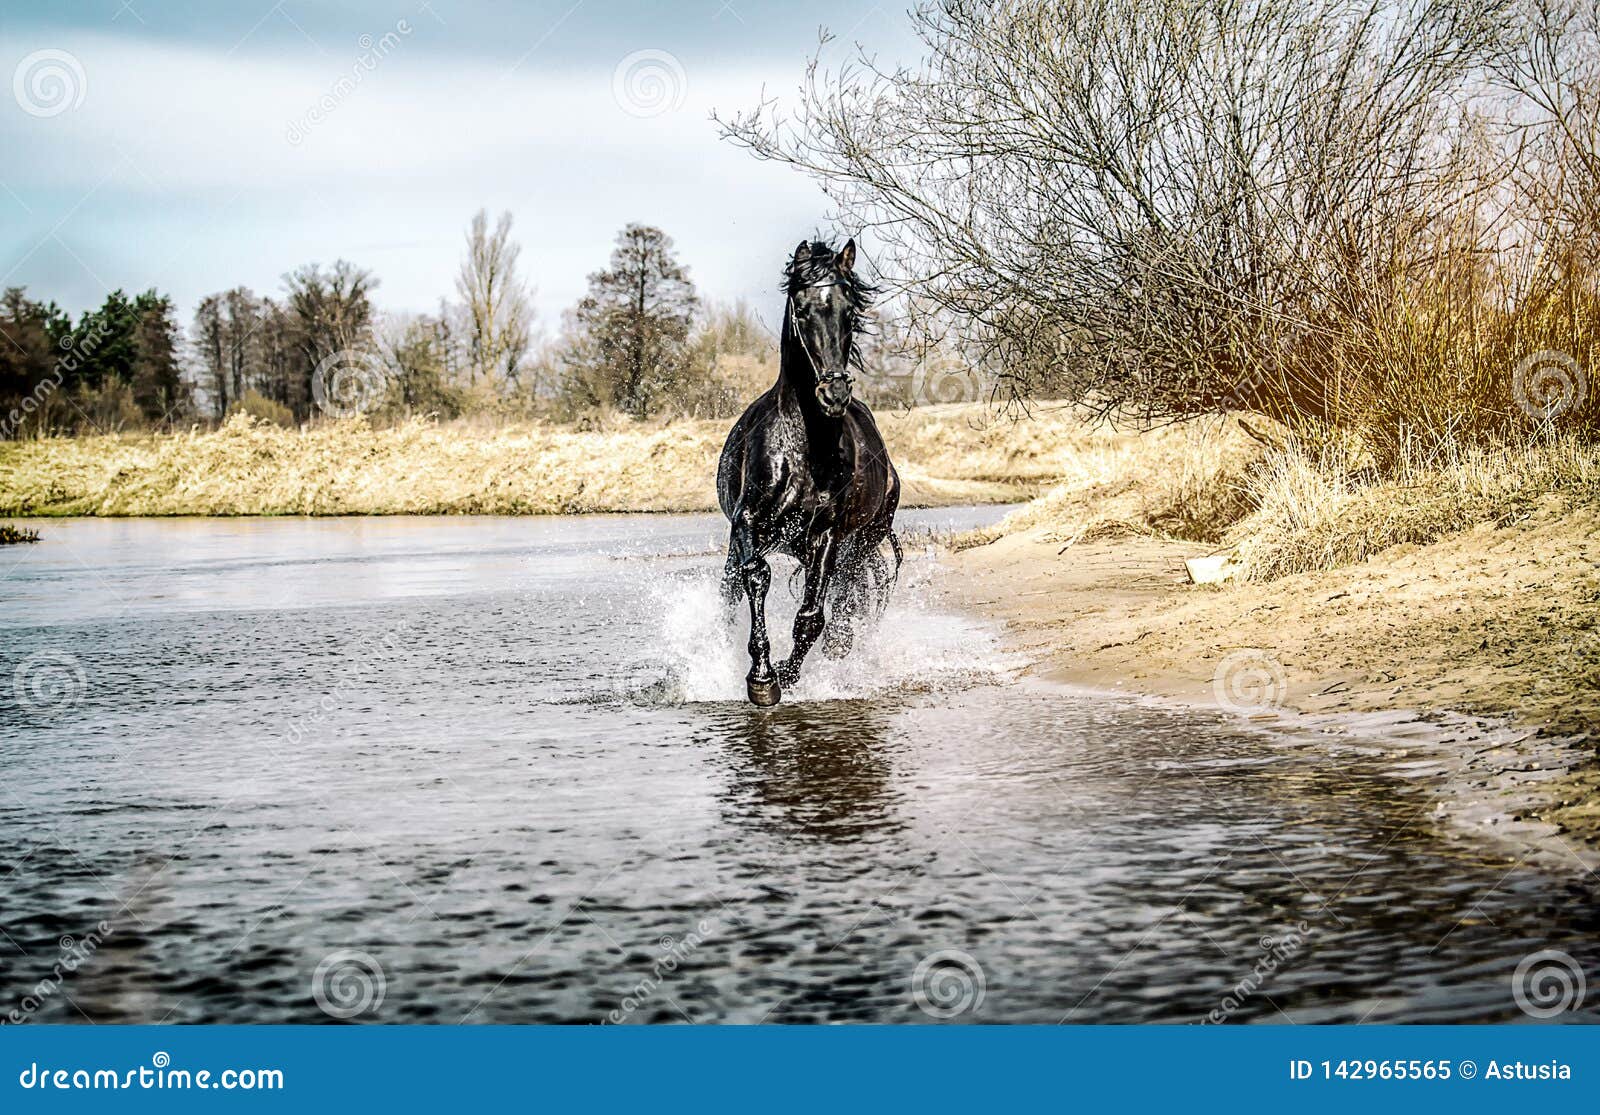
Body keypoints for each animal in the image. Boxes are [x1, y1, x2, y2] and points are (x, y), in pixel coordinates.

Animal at [716, 236, 902, 703]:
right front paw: (761, 675)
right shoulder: (747, 522)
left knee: (845, 604)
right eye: (802, 310)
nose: (833, 394)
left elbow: (811, 617)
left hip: (858, 546)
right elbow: (755, 578)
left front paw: (782, 675)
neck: (803, 450)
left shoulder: (826, 535)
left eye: (849, 311)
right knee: (729, 592)